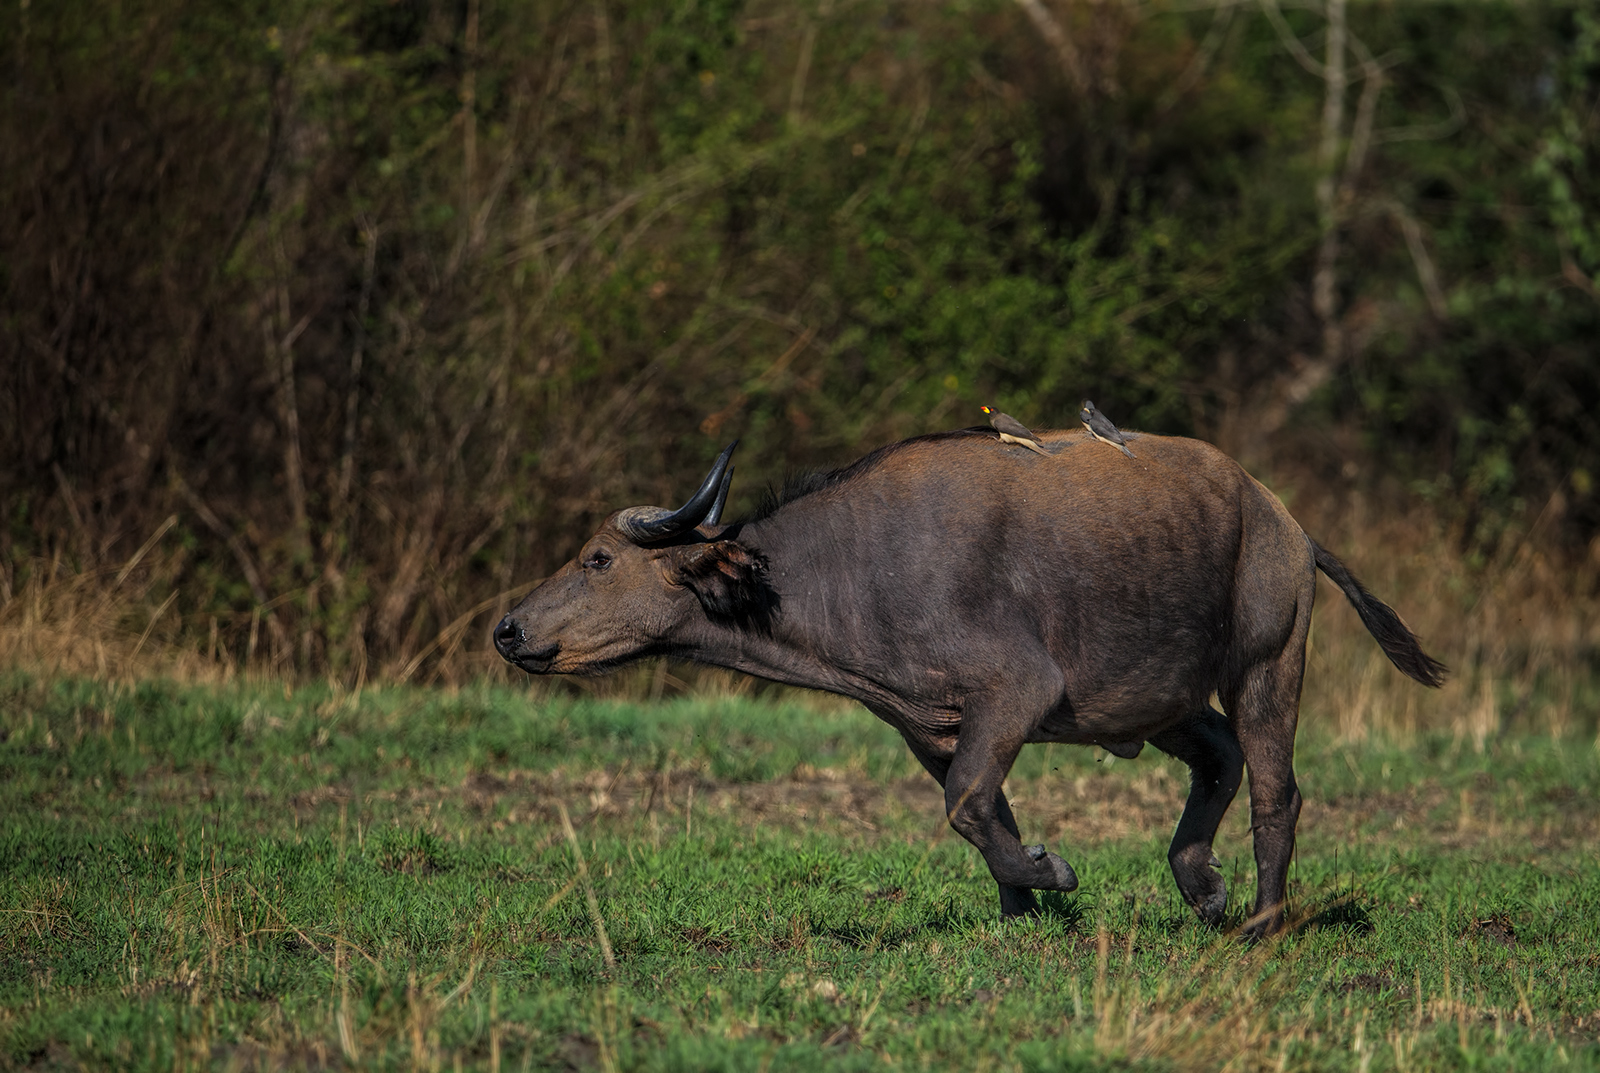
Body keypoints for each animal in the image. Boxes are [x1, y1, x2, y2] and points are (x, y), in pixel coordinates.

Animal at [494, 428, 1445, 936]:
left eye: (597, 557)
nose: (508, 629)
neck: (851, 568)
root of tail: (1285, 520)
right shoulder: (934, 727)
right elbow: (984, 807)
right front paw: (1022, 907)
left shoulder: (1015, 693)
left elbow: (966, 805)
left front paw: (1052, 873)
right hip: (1158, 698)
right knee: (1217, 757)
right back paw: (1200, 883)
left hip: (1267, 664)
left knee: (1277, 787)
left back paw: (1259, 916)